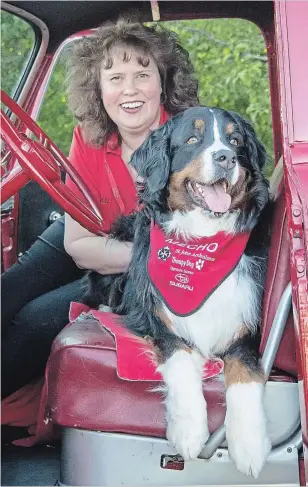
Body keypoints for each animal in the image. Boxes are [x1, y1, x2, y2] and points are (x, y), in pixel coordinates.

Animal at [82, 107, 272, 480]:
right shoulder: (160, 322)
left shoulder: (245, 329)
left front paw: (250, 445)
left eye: (235, 141)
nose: (226, 157)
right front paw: (188, 432)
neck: (201, 241)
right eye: (193, 139)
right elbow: (183, 360)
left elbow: (245, 376)